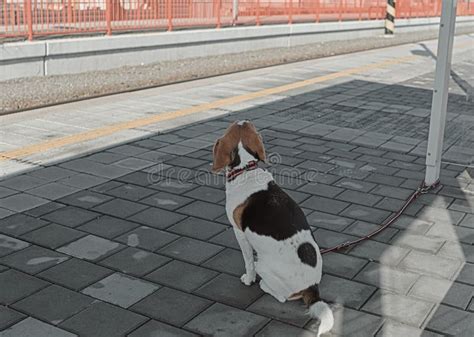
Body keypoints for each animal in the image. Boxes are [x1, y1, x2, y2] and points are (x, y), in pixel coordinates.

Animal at [211, 120, 334, 334]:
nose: (242, 119)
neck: (246, 168)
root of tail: (312, 288)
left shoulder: (239, 233)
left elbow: (247, 261)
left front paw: (248, 279)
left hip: (262, 264)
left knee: (281, 296)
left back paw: (263, 285)